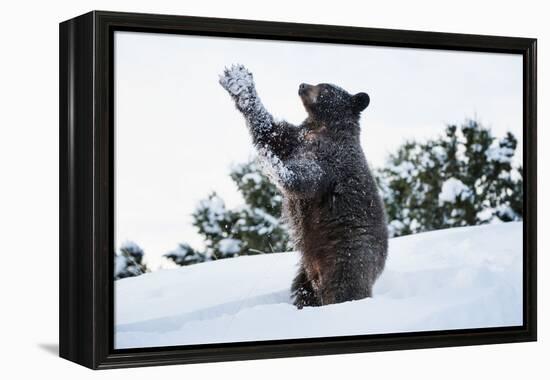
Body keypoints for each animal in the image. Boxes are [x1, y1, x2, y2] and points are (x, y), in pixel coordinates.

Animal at [219, 64, 388, 308]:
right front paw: (238, 80)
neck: (321, 126)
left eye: (325, 87)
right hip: (306, 270)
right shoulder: (295, 138)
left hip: (349, 253)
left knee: (343, 288)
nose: (302, 85)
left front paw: (272, 164)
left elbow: (304, 178)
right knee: (304, 290)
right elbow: (269, 130)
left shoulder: (330, 160)